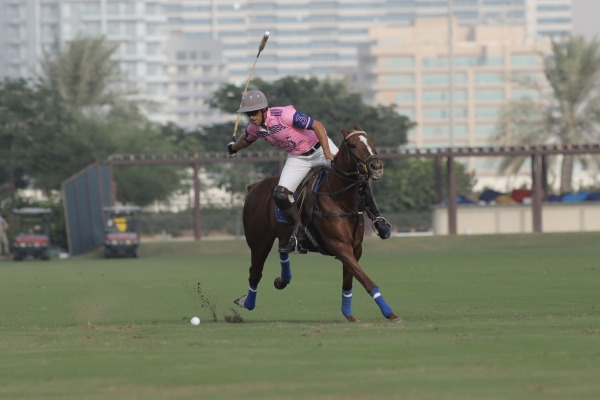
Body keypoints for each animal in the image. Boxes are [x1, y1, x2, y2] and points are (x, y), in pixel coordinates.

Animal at [234, 126, 404, 322]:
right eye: (353, 145)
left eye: (372, 143)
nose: (376, 167)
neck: (340, 198)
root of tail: (254, 187)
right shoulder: (340, 247)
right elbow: (366, 280)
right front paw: (390, 313)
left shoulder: (355, 248)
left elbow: (349, 281)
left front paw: (349, 314)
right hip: (259, 242)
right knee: (255, 272)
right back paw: (246, 302)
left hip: (281, 234)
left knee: (282, 250)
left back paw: (282, 279)